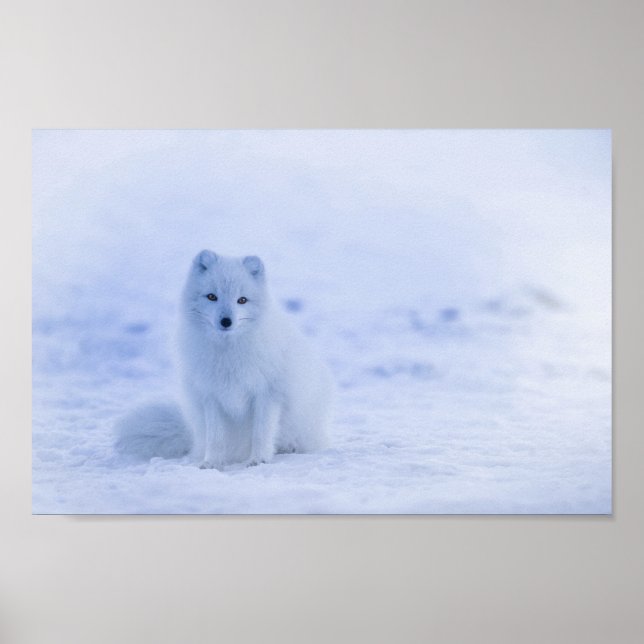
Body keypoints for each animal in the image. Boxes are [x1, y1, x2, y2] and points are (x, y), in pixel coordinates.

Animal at [115, 250, 333, 470]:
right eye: (212, 296)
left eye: (242, 300)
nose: (226, 321)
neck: (228, 353)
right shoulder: (211, 395)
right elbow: (216, 438)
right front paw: (211, 463)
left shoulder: (267, 394)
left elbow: (261, 433)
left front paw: (259, 460)